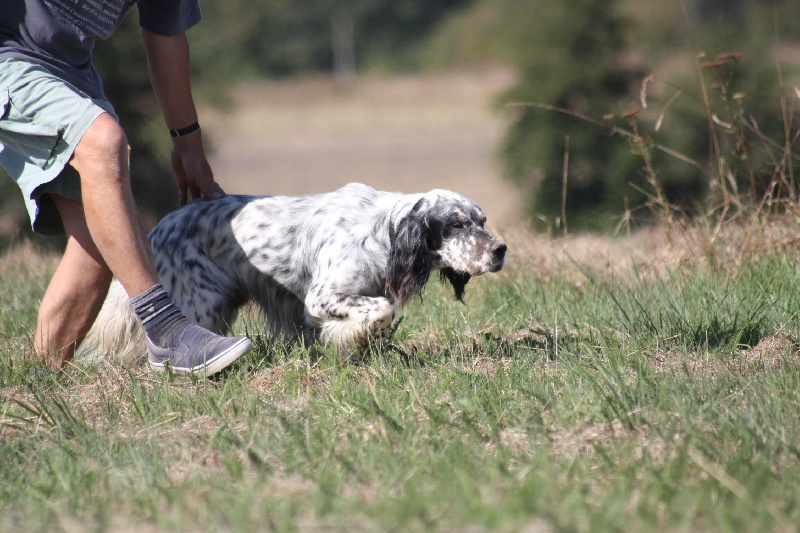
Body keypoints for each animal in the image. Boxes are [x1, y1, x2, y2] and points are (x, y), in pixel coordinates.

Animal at [81, 183, 506, 362]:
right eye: (456, 224)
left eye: (482, 220)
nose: (500, 250)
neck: (382, 232)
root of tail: (156, 230)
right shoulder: (321, 298)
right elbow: (382, 310)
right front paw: (352, 338)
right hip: (201, 303)